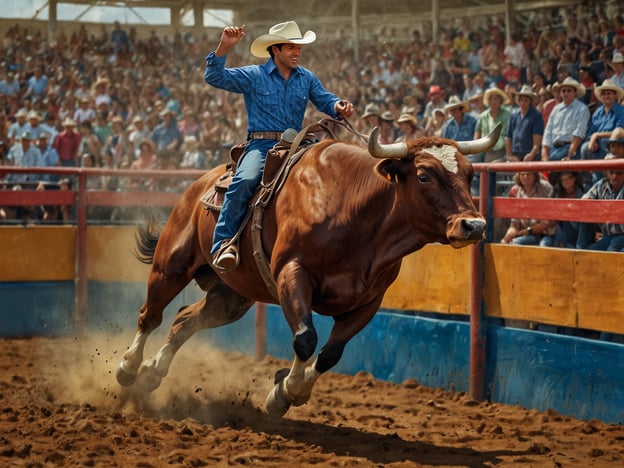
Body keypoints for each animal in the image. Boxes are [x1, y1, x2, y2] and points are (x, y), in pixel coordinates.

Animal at [116, 125, 498, 416]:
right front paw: (283, 391)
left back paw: (151, 372)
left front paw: (288, 390)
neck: (354, 209)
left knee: (185, 320)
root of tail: (197, 187)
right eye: (423, 175)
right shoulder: (292, 274)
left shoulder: (368, 302)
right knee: (150, 315)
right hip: (171, 265)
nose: (474, 225)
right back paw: (129, 367)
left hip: (231, 296)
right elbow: (306, 338)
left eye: (469, 174)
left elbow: (330, 354)